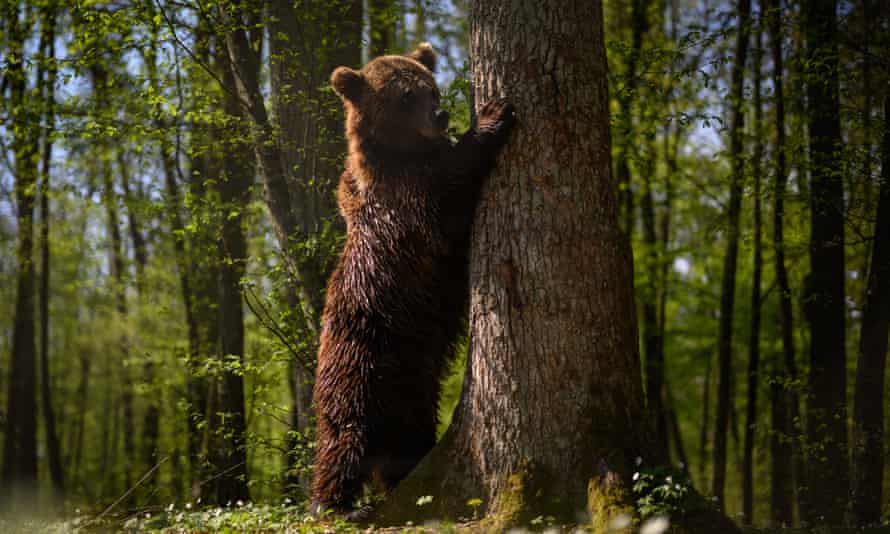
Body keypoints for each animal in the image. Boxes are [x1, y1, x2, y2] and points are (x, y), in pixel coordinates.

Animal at [308, 42, 512, 520]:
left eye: (430, 87)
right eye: (405, 96)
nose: (440, 114)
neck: (400, 155)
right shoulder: (407, 205)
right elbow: (449, 195)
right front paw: (491, 115)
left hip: (412, 391)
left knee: (408, 444)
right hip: (357, 368)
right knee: (342, 442)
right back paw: (334, 505)